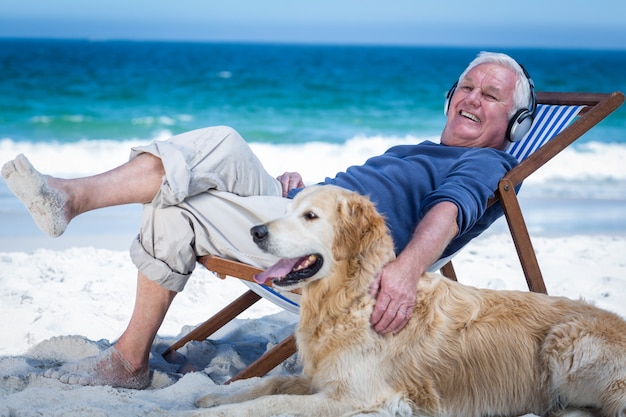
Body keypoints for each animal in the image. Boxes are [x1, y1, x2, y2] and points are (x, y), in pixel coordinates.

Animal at [194, 186, 624, 416]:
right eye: (287, 211)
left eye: (310, 216)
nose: (256, 231)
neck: (351, 298)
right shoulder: (321, 378)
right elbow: (269, 384)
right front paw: (215, 395)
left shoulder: (354, 396)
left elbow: (268, 404)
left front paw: (221, 410)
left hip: (566, 344)